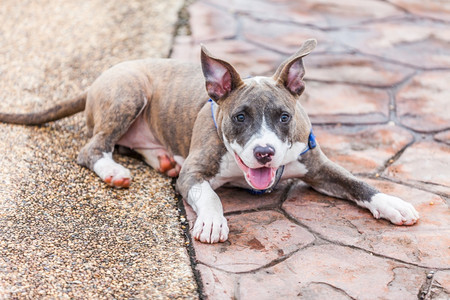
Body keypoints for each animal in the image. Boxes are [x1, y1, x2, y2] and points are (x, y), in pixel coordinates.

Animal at [0, 38, 418, 243]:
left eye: (284, 117)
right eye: (239, 117)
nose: (264, 153)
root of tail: (96, 81)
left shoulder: (317, 166)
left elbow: (357, 182)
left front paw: (392, 203)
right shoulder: (196, 173)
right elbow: (211, 195)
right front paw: (214, 223)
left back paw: (164, 159)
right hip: (129, 93)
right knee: (93, 147)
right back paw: (114, 171)